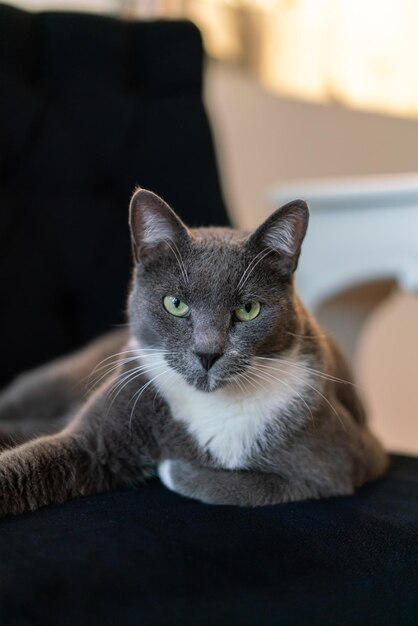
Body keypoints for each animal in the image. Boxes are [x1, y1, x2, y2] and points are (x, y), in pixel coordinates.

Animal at [0, 189, 386, 512]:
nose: (207, 353)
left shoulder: (342, 462)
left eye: (248, 309)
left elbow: (245, 488)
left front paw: (174, 469)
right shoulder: (101, 429)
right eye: (175, 304)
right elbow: (38, 457)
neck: (213, 406)